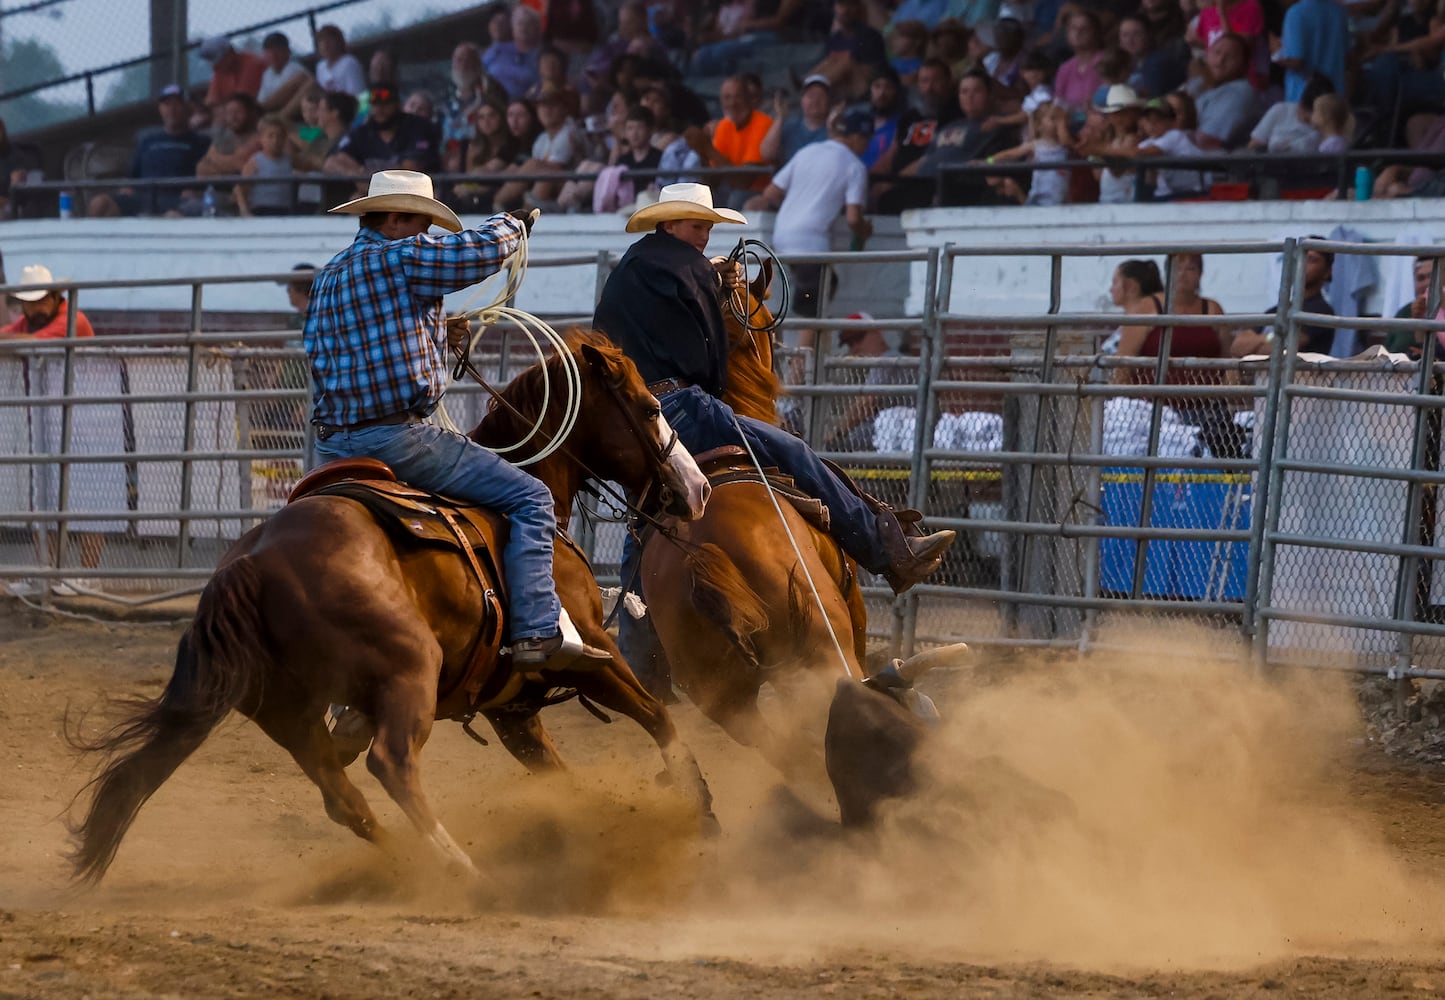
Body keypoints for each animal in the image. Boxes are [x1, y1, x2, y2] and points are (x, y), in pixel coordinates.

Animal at [68, 335, 716, 884]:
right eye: (649, 407)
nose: (697, 490)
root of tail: (248, 563)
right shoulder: (592, 658)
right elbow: (657, 716)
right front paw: (702, 808)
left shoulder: (511, 709)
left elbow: (563, 775)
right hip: (409, 671)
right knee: (392, 764)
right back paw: (461, 870)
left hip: (287, 711)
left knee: (342, 795)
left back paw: (410, 865)